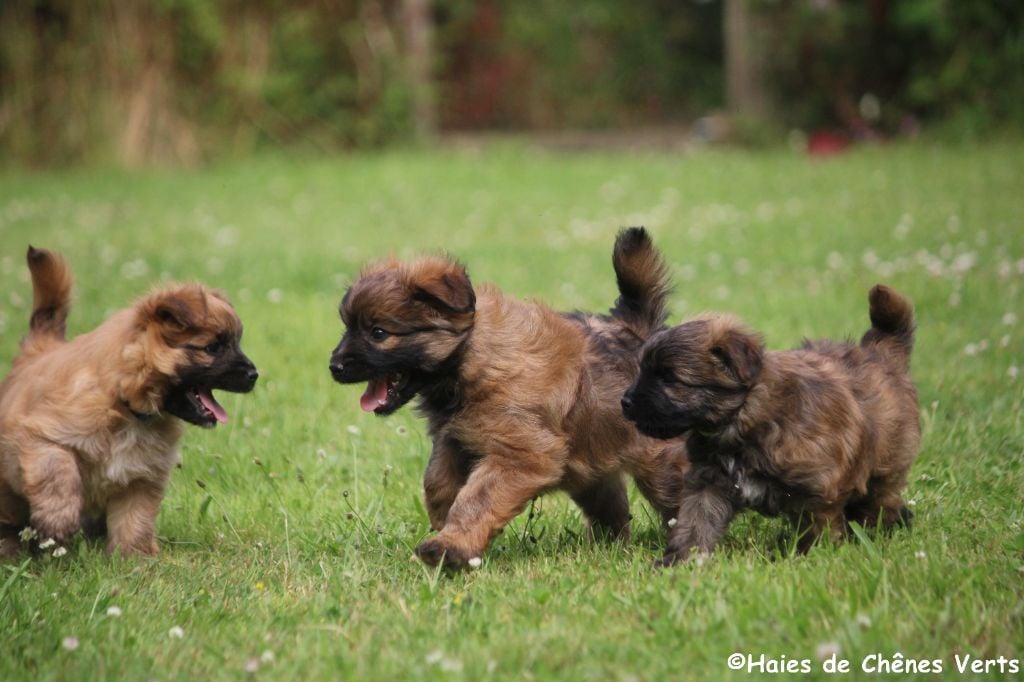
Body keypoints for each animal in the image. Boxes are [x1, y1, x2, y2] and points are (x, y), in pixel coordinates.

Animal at [1, 246, 256, 557]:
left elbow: (135, 520)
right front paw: (57, 520)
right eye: (213, 348)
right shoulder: (38, 435)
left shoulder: (141, 477)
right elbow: (57, 471)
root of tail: (36, 350)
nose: (254, 375)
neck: (124, 404)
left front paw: (134, 559)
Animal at [331, 225, 692, 565]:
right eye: (347, 327)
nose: (334, 366)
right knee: (611, 506)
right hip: (591, 461)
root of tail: (633, 332)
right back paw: (607, 547)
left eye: (378, 333)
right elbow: (437, 479)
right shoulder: (455, 437)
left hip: (659, 464)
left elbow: (477, 500)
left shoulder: (520, 454)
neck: (471, 359)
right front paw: (441, 516)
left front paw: (450, 547)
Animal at [618, 284, 925, 561]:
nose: (626, 402)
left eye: (669, 378)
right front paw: (679, 561)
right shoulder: (709, 483)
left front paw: (810, 558)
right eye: (643, 369)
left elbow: (818, 530)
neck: (743, 418)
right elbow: (695, 524)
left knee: (881, 504)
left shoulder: (819, 491)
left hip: (882, 470)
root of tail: (881, 352)